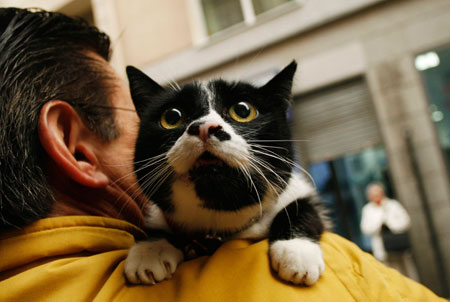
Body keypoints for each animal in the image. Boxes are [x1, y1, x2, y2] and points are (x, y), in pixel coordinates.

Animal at [123, 60, 326, 286]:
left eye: (243, 110)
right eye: (172, 116)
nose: (204, 127)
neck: (217, 221)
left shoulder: (299, 192)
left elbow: (304, 207)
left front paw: (297, 252)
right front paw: (150, 251)